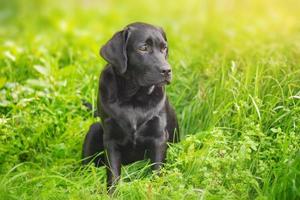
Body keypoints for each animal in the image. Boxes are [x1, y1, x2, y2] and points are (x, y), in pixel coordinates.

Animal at [82, 22, 179, 193]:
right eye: (143, 48)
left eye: (164, 48)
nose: (167, 70)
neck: (134, 97)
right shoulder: (111, 140)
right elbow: (113, 174)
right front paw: (111, 194)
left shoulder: (159, 137)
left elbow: (157, 170)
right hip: (94, 130)